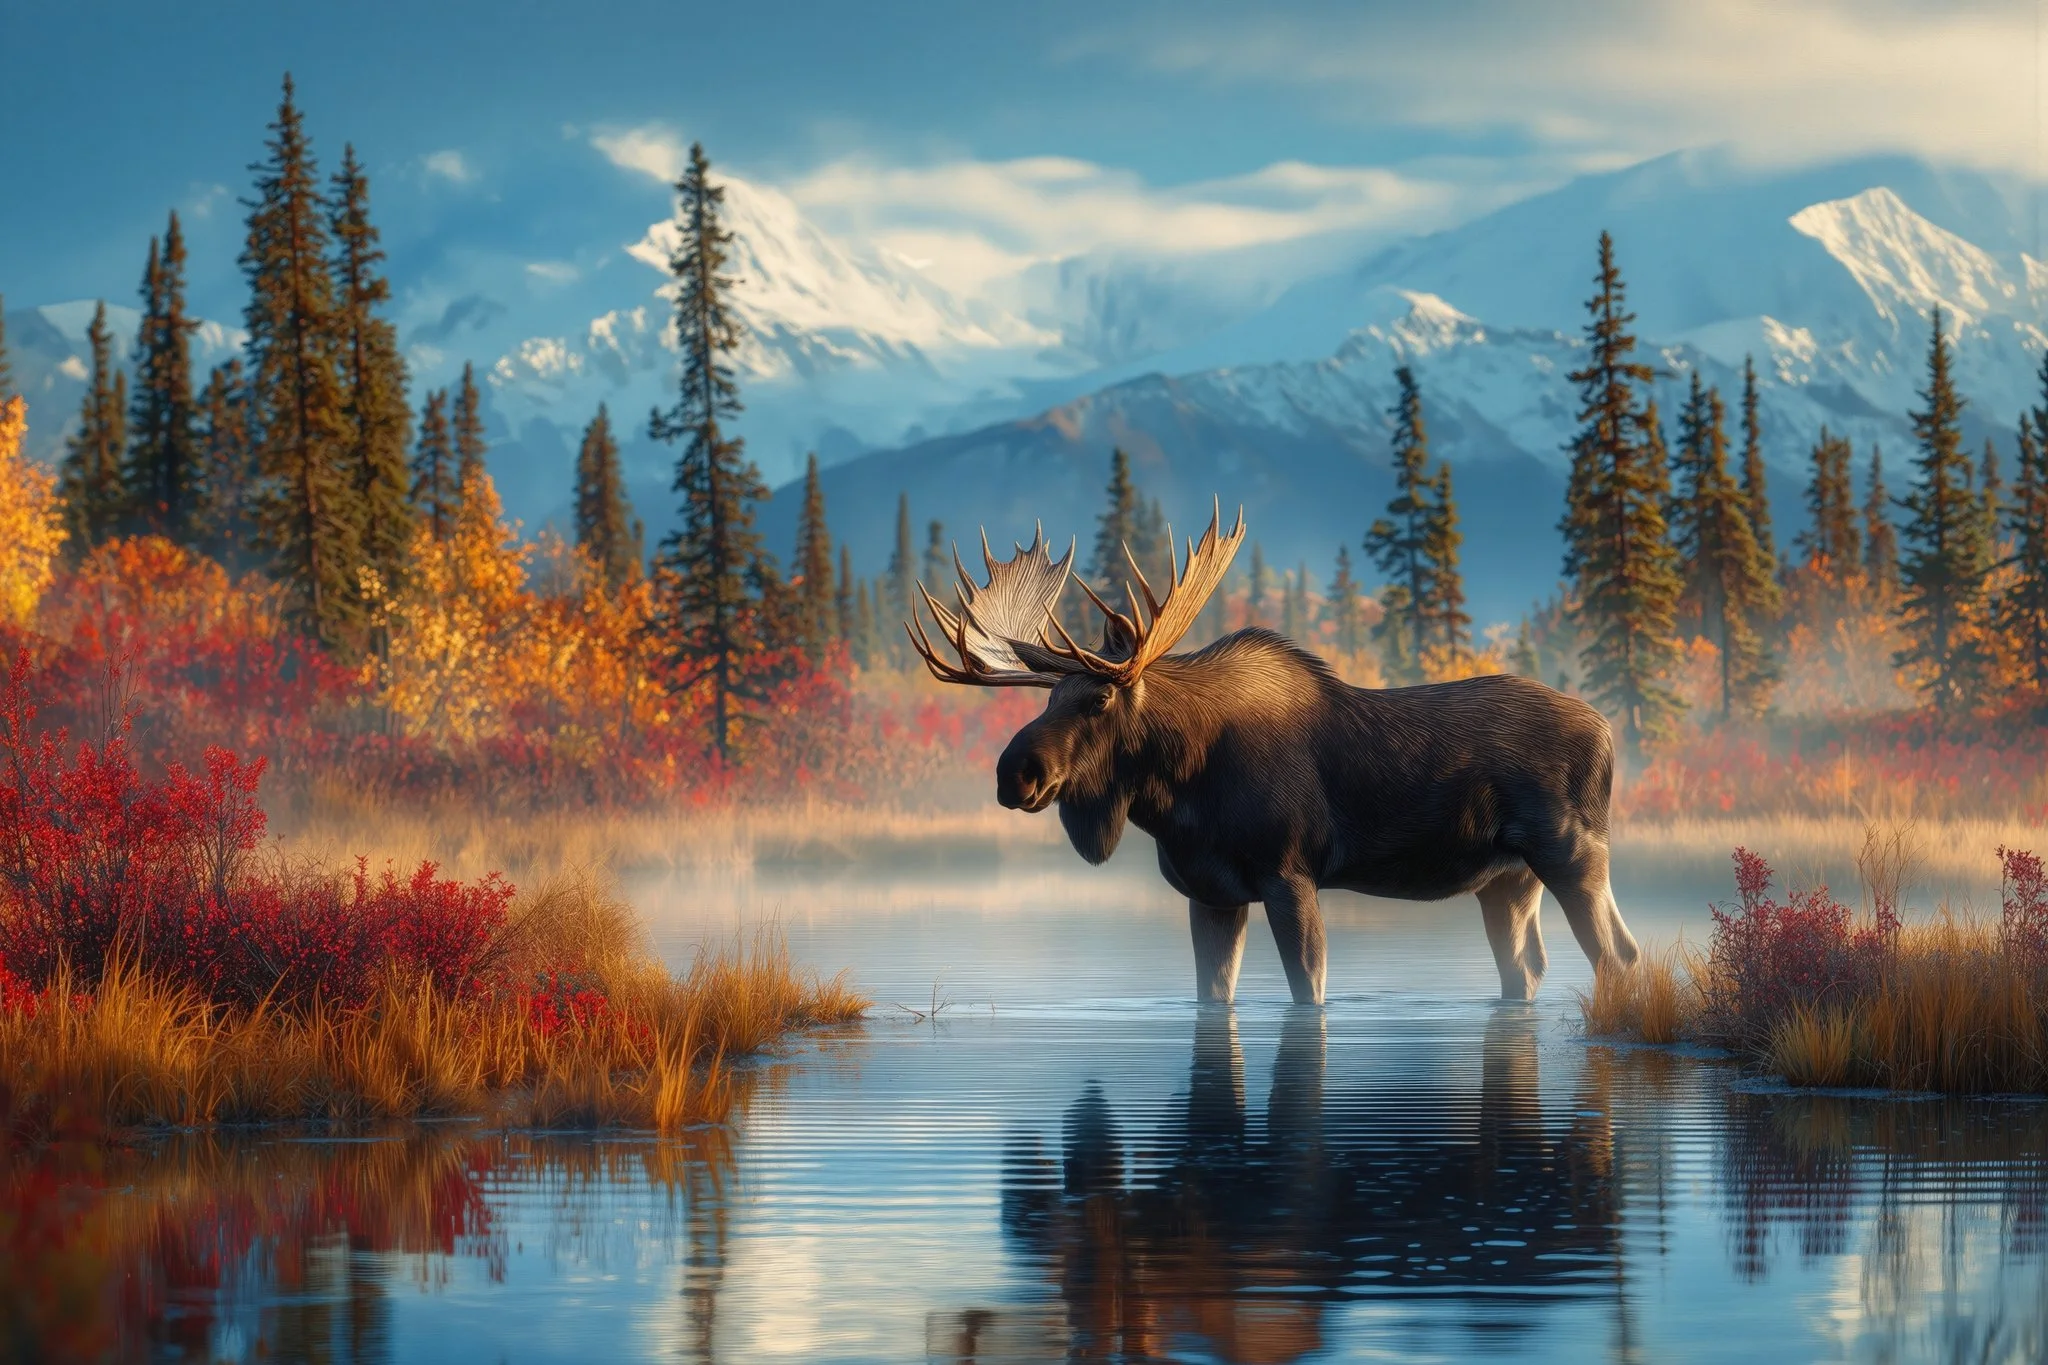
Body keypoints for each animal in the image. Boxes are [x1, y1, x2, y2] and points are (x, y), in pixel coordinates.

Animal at [905, 504, 1640, 1006]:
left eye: (1098, 700)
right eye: (1049, 696)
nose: (1014, 773)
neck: (1177, 798)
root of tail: (1610, 732)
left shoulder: (1291, 874)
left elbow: (1307, 991)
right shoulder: (1210, 892)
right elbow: (1213, 995)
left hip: (1573, 853)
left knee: (1618, 954)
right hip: (1507, 880)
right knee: (1530, 969)